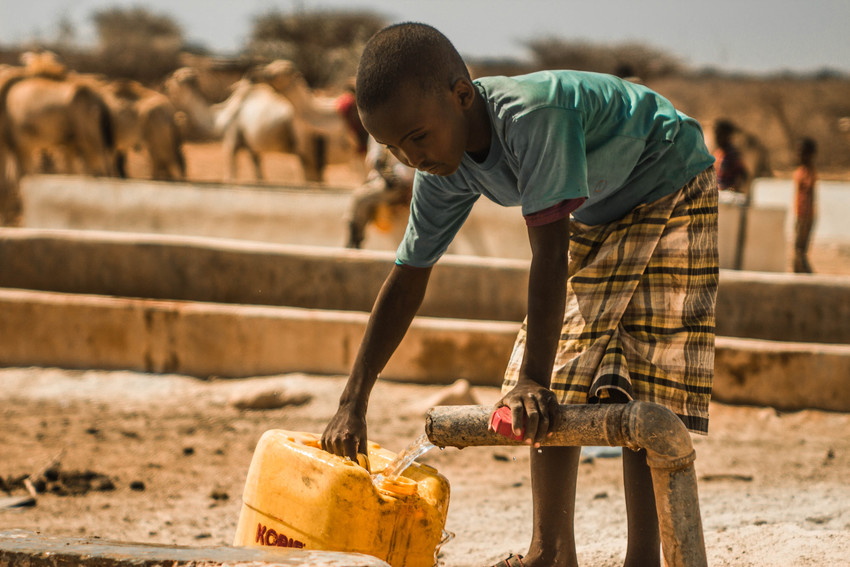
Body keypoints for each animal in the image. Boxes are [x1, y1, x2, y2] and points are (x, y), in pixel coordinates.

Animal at [164, 67, 326, 183]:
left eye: (174, 77)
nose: (164, 84)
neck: (221, 115)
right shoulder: (252, 147)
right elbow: (259, 176)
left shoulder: (231, 139)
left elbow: (230, 175)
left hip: (302, 138)